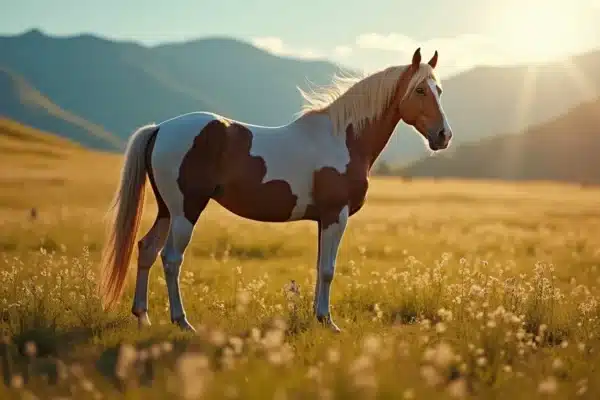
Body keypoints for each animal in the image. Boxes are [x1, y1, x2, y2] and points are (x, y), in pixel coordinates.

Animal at [99, 47, 454, 332]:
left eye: (439, 90)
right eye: (420, 90)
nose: (444, 135)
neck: (342, 138)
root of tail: (160, 128)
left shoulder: (323, 219)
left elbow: (319, 267)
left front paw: (317, 318)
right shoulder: (335, 215)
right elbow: (328, 270)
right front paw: (329, 322)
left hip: (167, 210)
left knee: (146, 249)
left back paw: (143, 317)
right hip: (186, 210)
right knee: (171, 259)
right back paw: (182, 322)